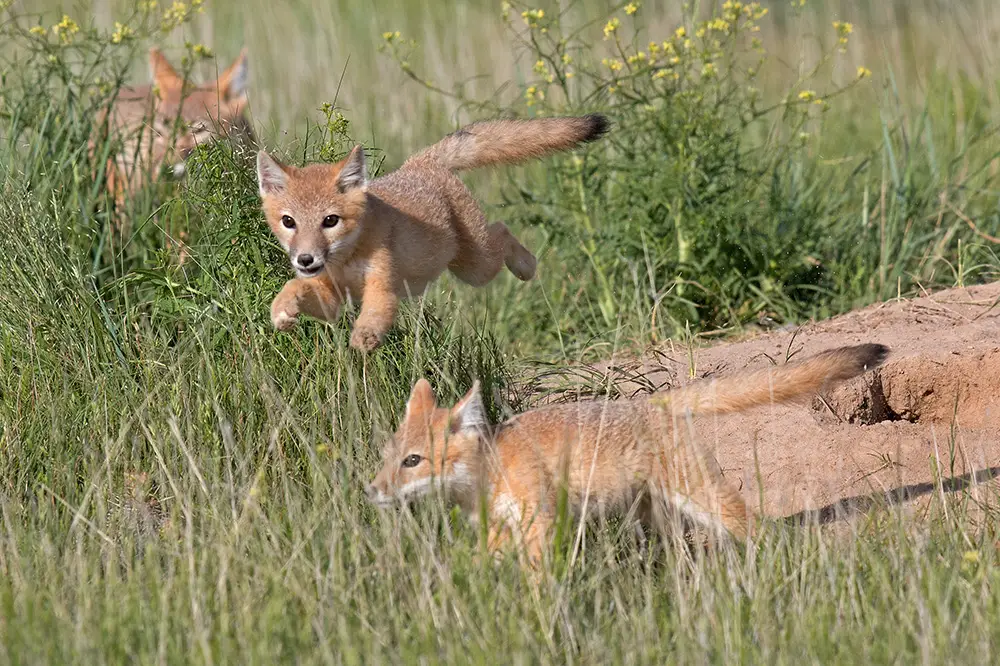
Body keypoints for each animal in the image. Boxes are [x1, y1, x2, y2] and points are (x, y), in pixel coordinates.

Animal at [254, 113, 608, 352]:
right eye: (289, 222)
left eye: (330, 221)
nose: (305, 259)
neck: (346, 260)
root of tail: (419, 163)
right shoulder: (333, 298)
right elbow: (294, 288)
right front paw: (282, 310)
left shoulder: (383, 287)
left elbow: (375, 314)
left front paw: (363, 339)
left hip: (476, 267)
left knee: (502, 229)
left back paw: (526, 266)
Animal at [368, 342, 892, 564]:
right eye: (388, 457)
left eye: (412, 461)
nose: (370, 491)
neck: (492, 471)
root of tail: (650, 401)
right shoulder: (499, 531)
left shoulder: (540, 524)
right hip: (652, 516)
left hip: (704, 499)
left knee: (760, 530)